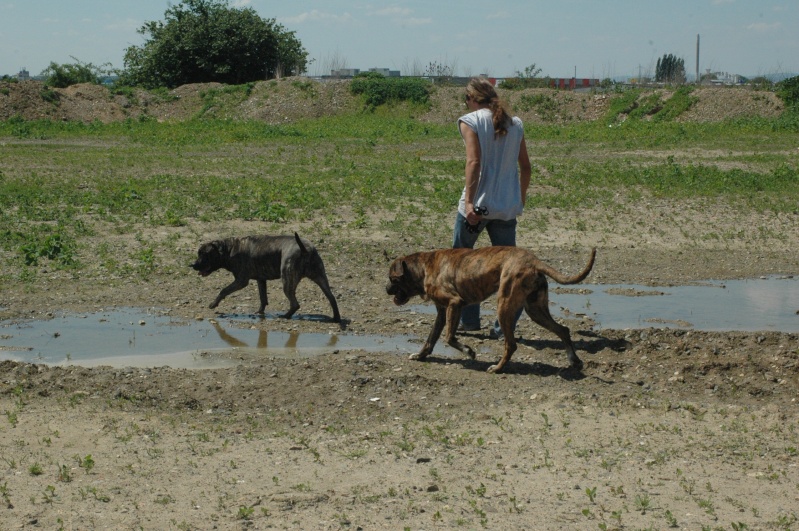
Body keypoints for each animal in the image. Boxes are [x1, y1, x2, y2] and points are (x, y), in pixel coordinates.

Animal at [196, 231, 344, 322]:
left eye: (204, 254)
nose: (193, 265)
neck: (229, 249)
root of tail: (305, 249)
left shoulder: (241, 281)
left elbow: (224, 290)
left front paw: (213, 304)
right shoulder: (261, 280)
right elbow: (263, 298)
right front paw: (260, 311)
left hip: (287, 281)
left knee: (295, 304)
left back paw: (285, 316)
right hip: (321, 278)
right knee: (332, 298)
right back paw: (336, 318)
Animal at [384, 246, 596, 374]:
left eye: (392, 279)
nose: (385, 289)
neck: (423, 267)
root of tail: (534, 260)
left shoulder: (454, 303)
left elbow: (449, 337)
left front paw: (468, 351)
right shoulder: (442, 313)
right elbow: (430, 340)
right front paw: (420, 356)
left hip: (504, 307)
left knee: (511, 345)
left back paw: (498, 368)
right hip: (536, 310)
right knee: (563, 330)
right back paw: (574, 361)